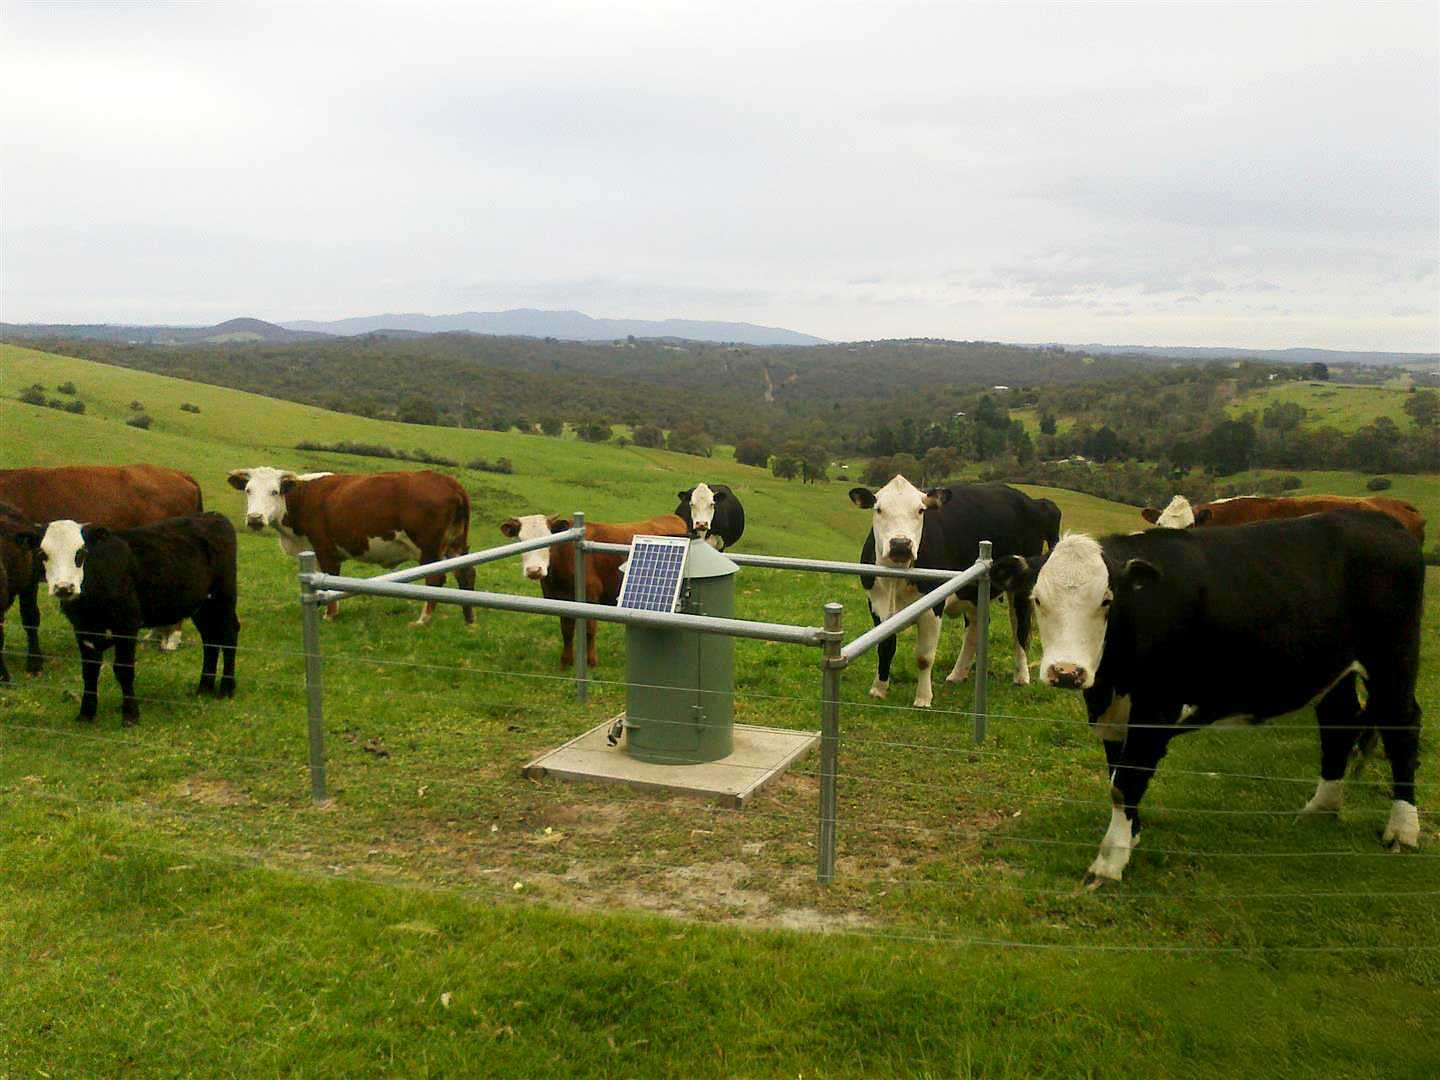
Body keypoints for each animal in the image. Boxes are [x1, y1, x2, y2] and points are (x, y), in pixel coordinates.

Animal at [22, 513, 240, 725]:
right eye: (42, 554)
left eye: (81, 553)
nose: (64, 587)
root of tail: (213, 516)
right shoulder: (83, 629)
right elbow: (89, 670)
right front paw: (86, 714)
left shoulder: (126, 625)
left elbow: (123, 669)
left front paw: (130, 715)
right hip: (202, 605)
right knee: (210, 640)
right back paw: (204, 687)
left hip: (224, 596)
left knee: (229, 635)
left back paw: (226, 688)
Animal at [227, 468, 475, 625]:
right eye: (248, 490)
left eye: (274, 491)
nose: (255, 518)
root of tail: (448, 481)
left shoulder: (326, 550)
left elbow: (329, 581)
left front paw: (330, 615)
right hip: (455, 545)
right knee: (466, 573)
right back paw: (469, 619)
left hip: (429, 549)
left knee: (435, 579)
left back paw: (423, 619)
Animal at [499, 513, 689, 667]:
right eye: (521, 540)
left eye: (547, 539)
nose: (534, 570)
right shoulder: (561, 600)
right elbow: (566, 631)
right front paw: (566, 661)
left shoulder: (590, 597)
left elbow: (589, 631)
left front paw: (590, 661)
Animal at [850, 477, 1061, 707]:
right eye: (878, 509)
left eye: (921, 510)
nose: (900, 545)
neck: (896, 579)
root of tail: (1033, 502)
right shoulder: (876, 603)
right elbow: (885, 646)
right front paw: (878, 689)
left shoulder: (932, 607)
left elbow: (924, 657)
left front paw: (923, 698)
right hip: (973, 592)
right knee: (977, 626)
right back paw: (958, 674)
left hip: (1020, 585)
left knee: (1020, 628)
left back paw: (1021, 676)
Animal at [990, 510, 1424, 885]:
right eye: (1038, 599)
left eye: (1106, 601)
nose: (1067, 672)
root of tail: (1378, 520)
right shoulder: (1115, 714)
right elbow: (1119, 776)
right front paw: (1132, 835)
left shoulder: (1157, 709)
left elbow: (1125, 782)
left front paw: (1109, 862)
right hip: (1334, 669)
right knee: (1339, 722)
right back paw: (1322, 807)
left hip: (1393, 661)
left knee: (1403, 727)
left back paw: (1403, 829)